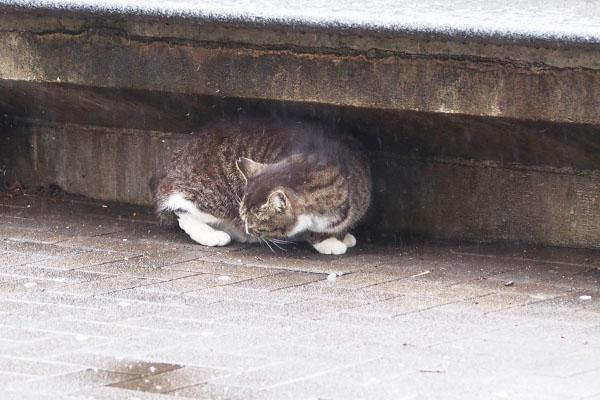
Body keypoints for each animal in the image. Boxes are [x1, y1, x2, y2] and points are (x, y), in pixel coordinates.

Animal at [155, 116, 370, 253]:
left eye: (253, 222)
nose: (247, 228)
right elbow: (304, 230)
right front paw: (328, 242)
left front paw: (343, 235)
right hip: (212, 196)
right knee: (179, 209)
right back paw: (212, 235)